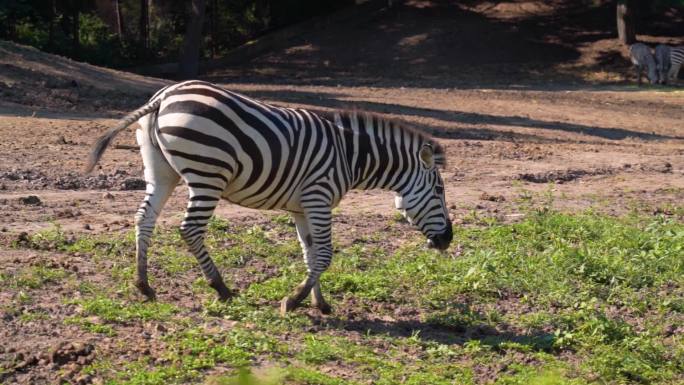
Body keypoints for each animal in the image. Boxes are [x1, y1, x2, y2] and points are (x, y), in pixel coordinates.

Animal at [85, 79, 454, 314]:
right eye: (439, 191)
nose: (448, 240)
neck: (351, 156)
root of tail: (163, 96)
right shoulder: (319, 198)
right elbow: (324, 255)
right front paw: (294, 301)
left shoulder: (304, 207)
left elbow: (310, 253)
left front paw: (320, 303)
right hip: (208, 173)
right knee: (190, 229)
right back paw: (221, 288)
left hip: (161, 171)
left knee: (144, 219)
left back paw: (144, 285)